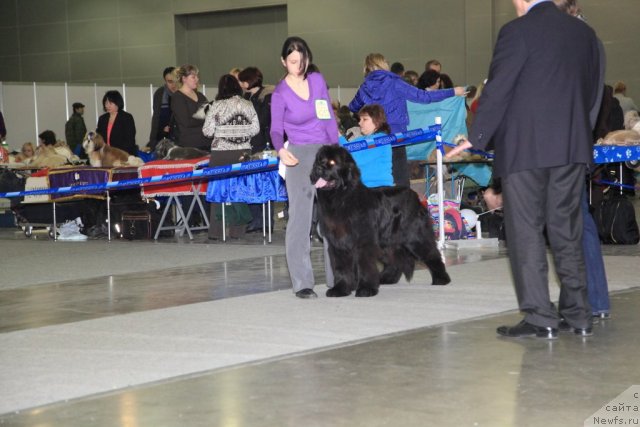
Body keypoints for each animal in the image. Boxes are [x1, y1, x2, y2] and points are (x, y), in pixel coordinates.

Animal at [310, 144, 450, 298]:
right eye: (319, 160)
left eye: (332, 162)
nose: (318, 168)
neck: (342, 198)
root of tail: (414, 195)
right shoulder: (338, 243)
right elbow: (341, 268)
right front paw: (340, 289)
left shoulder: (363, 242)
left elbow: (365, 266)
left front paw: (366, 289)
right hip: (386, 241)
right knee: (395, 260)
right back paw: (386, 278)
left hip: (414, 236)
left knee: (432, 254)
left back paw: (441, 279)